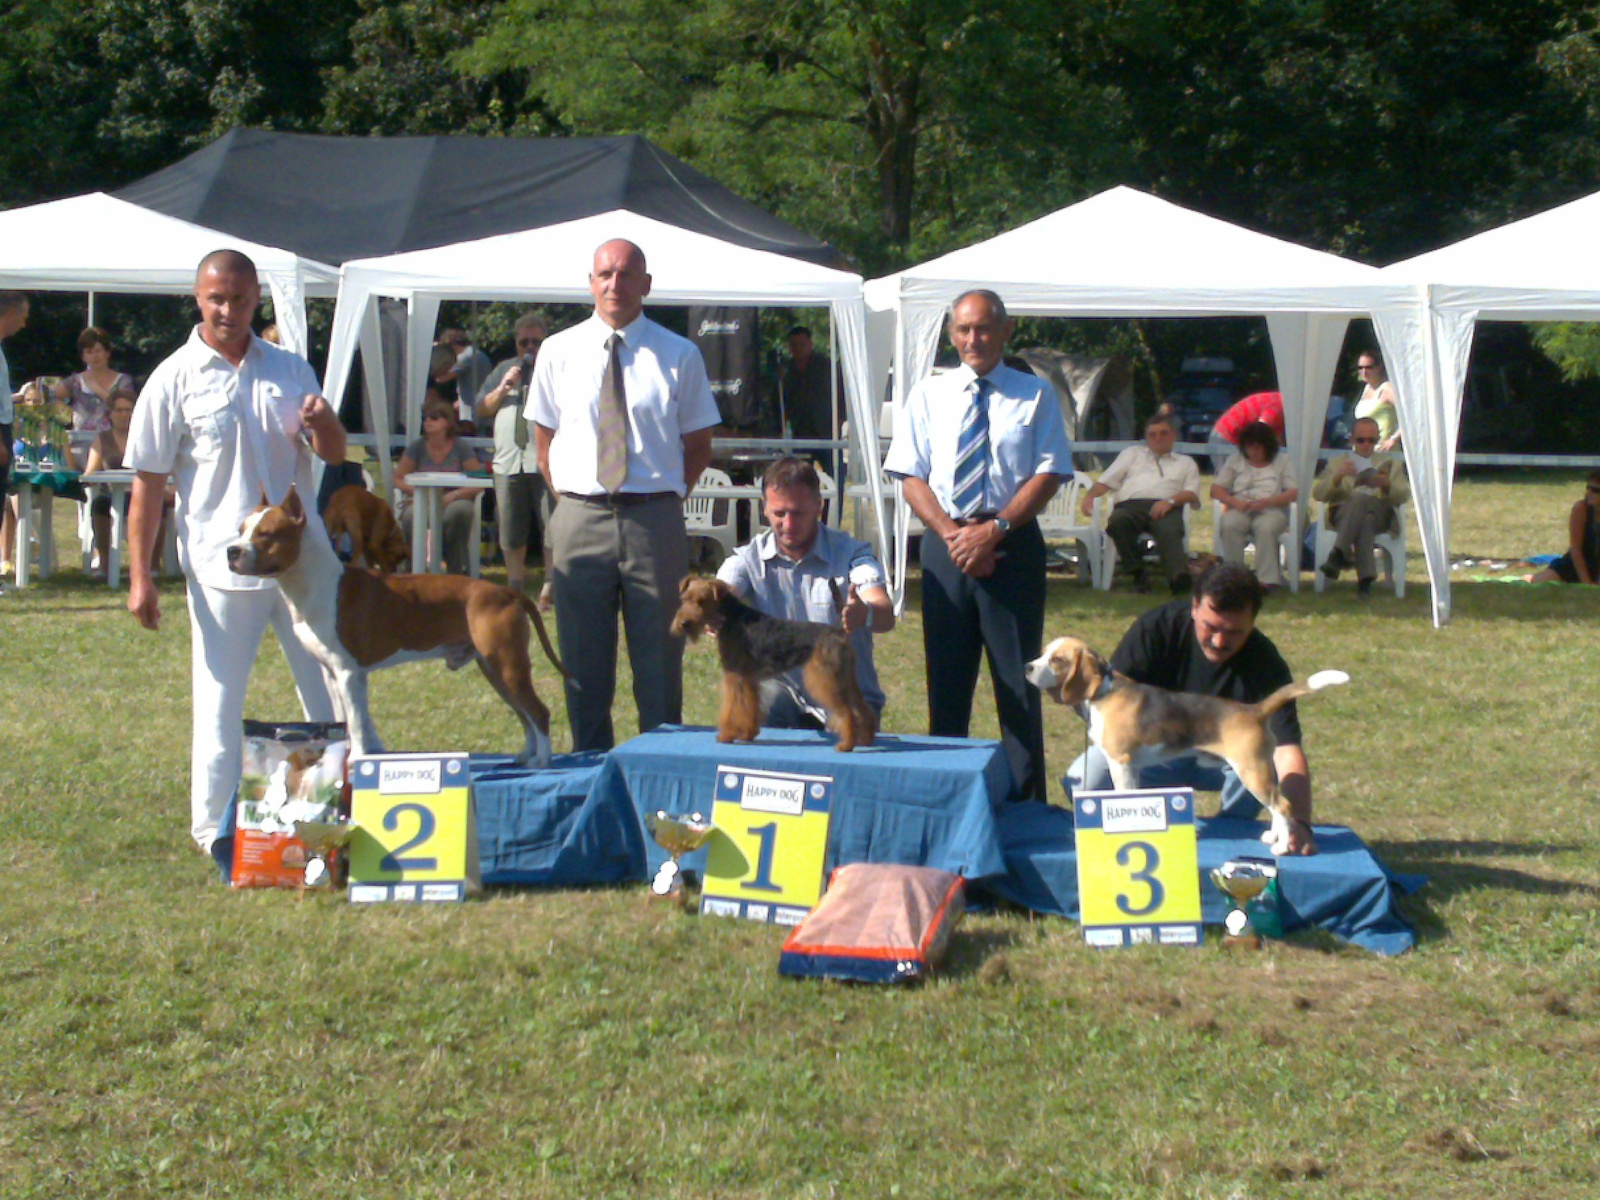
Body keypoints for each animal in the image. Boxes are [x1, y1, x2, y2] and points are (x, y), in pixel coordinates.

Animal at [228, 489, 569, 764]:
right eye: (241, 530)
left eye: (266, 534)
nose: (232, 551)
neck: (317, 584)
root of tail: (507, 593)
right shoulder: (332, 673)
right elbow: (345, 718)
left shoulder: (348, 672)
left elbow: (355, 721)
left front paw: (357, 760)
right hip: (494, 667)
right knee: (523, 714)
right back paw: (526, 754)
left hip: (508, 664)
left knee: (538, 712)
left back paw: (543, 760)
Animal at [672, 579, 883, 755]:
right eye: (685, 599)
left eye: (702, 601)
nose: (684, 623)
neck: (732, 617)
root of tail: (838, 631)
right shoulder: (748, 679)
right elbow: (749, 707)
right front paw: (747, 734)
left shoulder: (735, 676)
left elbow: (732, 707)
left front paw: (726, 735)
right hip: (845, 678)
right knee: (862, 708)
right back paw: (865, 739)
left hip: (826, 679)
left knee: (846, 712)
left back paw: (846, 745)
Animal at [1024, 640, 1350, 857]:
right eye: (1044, 652)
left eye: (1056, 660)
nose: (1027, 667)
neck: (1103, 691)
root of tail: (1254, 710)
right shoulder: (1132, 768)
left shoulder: (1120, 762)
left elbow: (1124, 795)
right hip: (1259, 770)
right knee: (1276, 805)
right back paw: (1273, 836)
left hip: (1250, 770)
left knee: (1283, 806)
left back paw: (1282, 846)